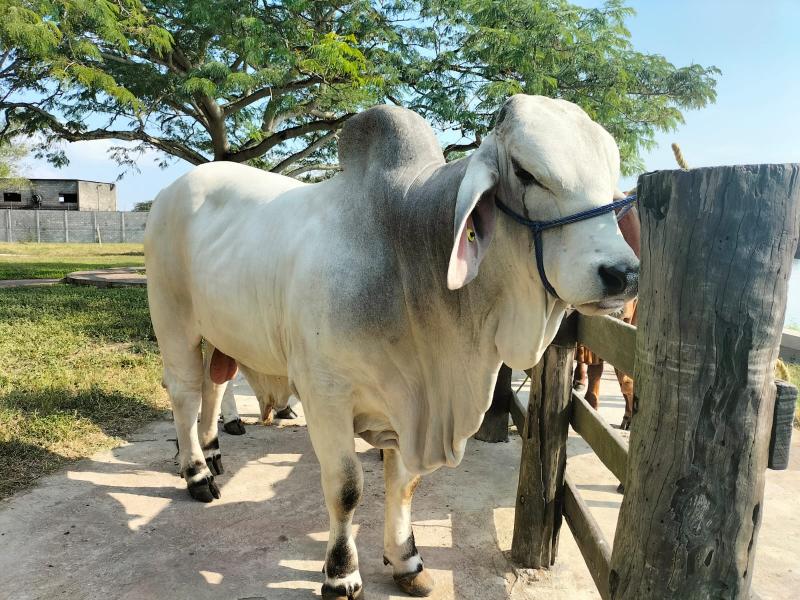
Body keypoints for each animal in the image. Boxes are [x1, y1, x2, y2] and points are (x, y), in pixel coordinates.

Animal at [147, 96, 640, 596]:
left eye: (610, 178)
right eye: (525, 172)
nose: (623, 273)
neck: (406, 252)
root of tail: (177, 187)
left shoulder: (410, 402)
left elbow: (404, 484)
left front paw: (407, 561)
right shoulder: (326, 395)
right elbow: (346, 488)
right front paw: (341, 573)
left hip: (220, 332)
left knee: (214, 386)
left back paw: (213, 453)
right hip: (172, 317)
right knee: (186, 394)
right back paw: (197, 473)